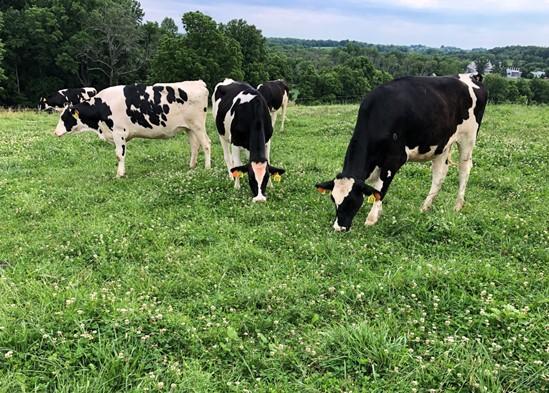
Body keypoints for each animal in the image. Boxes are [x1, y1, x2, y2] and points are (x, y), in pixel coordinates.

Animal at [53, 80, 211, 177]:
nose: (55, 132)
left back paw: (207, 168)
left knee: (206, 144)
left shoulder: (119, 133)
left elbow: (119, 155)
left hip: (198, 126)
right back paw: (191, 166)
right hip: (189, 128)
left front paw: (119, 174)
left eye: (64, 117)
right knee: (194, 146)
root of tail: (198, 83)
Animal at [314, 73, 486, 230]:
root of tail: (471, 76)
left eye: (352, 200)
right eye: (333, 199)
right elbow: (376, 189)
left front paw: (371, 219)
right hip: (441, 144)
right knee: (439, 175)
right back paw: (425, 207)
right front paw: (378, 212)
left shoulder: (394, 159)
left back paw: (457, 206)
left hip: (468, 138)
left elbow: (381, 189)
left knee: (464, 169)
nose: (339, 227)